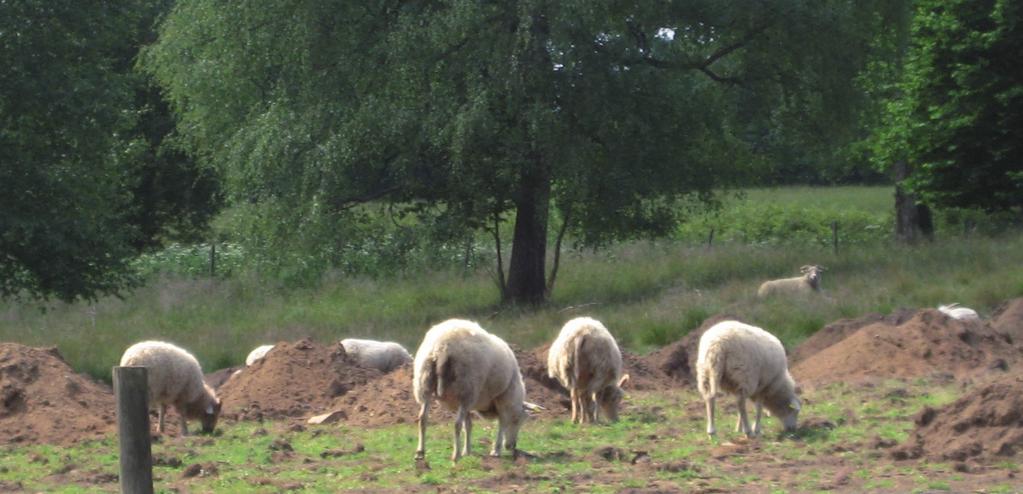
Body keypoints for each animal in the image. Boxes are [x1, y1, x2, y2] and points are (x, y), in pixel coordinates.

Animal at [411, 319, 527, 462]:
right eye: (518, 420)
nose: (512, 446)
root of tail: (443, 346)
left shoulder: (467, 402)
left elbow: (469, 425)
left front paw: (468, 451)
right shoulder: (503, 396)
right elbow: (502, 423)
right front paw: (496, 450)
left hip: (425, 382)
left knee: (423, 418)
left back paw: (420, 452)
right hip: (467, 386)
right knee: (456, 424)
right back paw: (456, 455)